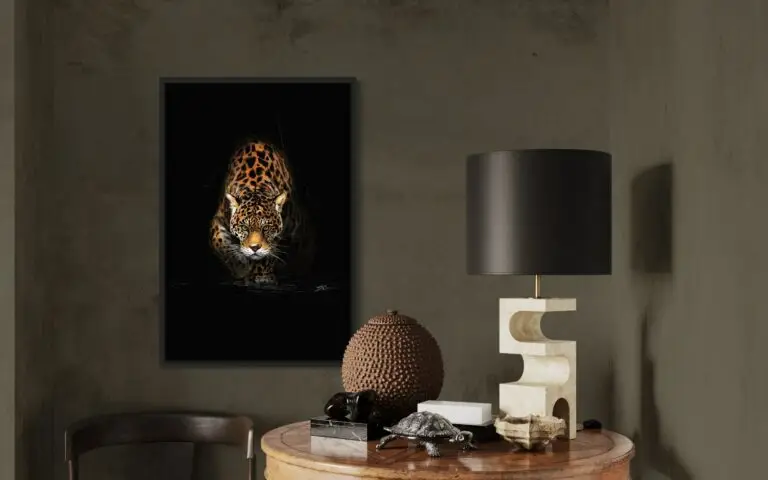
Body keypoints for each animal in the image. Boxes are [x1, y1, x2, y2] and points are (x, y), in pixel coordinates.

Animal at [210, 140, 313, 287]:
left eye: (266, 228)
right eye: (244, 227)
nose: (254, 248)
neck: (255, 187)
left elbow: (267, 254)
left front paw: (261, 276)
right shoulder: (218, 219)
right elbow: (218, 242)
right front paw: (240, 267)